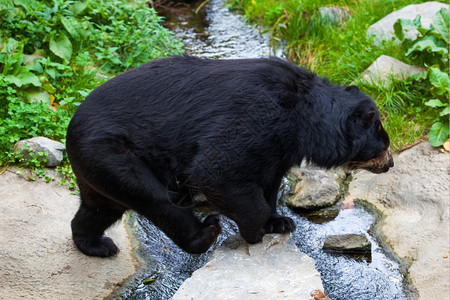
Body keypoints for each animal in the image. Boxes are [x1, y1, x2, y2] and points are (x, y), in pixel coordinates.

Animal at [67, 55, 394, 256]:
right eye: (382, 147)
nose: (390, 164)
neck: (301, 120)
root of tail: (71, 128)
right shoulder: (258, 120)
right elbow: (215, 170)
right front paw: (255, 231)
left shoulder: (277, 150)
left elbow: (269, 185)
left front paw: (279, 222)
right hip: (115, 154)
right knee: (158, 199)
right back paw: (207, 231)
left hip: (99, 168)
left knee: (99, 208)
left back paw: (96, 244)